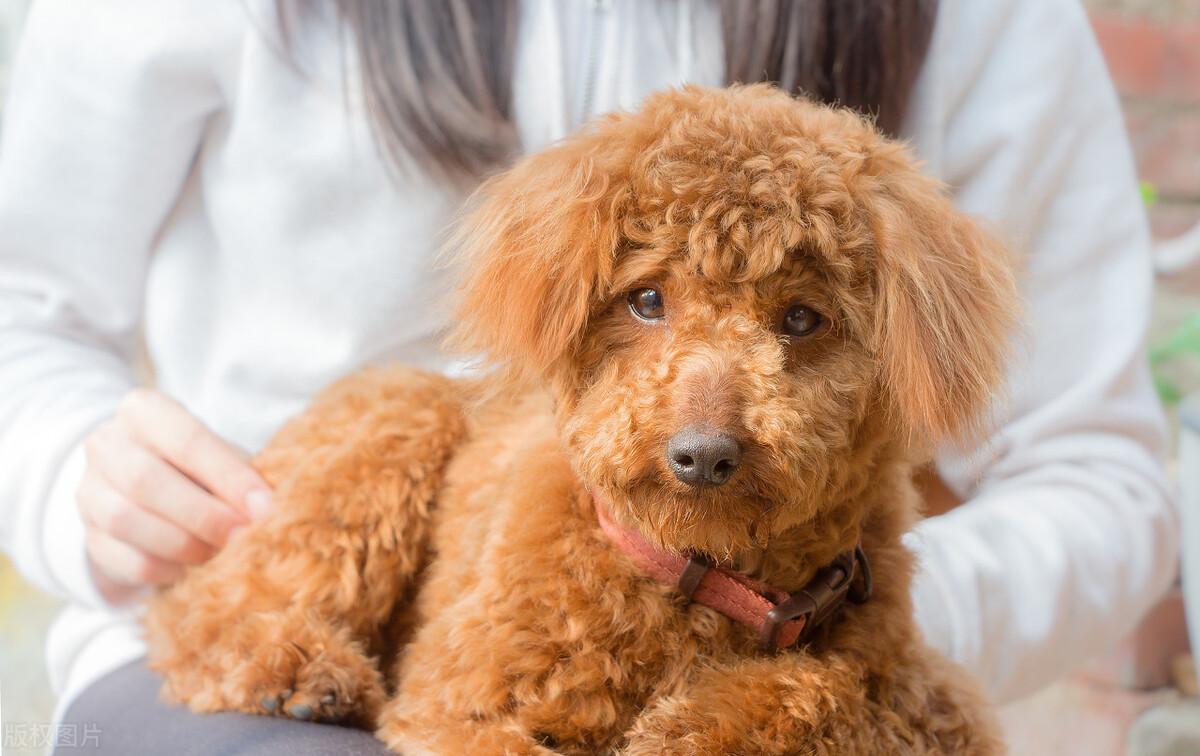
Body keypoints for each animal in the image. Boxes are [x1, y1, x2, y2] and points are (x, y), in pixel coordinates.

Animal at [145, 85, 1017, 753]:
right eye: (646, 300)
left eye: (803, 320)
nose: (702, 454)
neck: (699, 580)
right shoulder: (456, 710)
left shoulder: (916, 682)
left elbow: (839, 688)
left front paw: (696, 725)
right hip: (390, 442)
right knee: (200, 608)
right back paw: (297, 670)